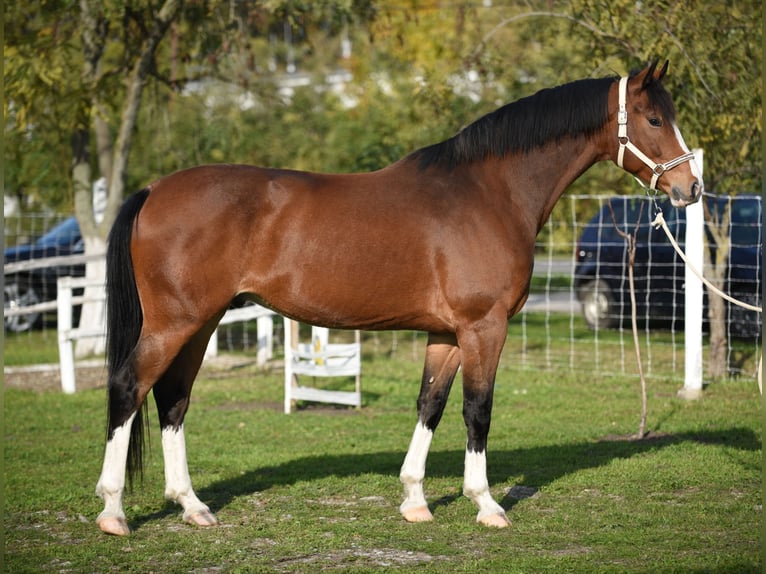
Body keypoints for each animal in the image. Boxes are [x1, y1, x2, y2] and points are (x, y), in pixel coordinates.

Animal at [94, 60, 704, 536]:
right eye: (654, 119)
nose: (690, 189)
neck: (488, 193)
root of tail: (154, 189)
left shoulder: (447, 332)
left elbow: (430, 404)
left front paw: (414, 500)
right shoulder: (484, 327)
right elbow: (478, 410)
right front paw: (487, 504)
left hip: (201, 323)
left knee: (173, 399)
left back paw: (192, 506)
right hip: (175, 323)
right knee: (129, 387)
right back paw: (114, 512)